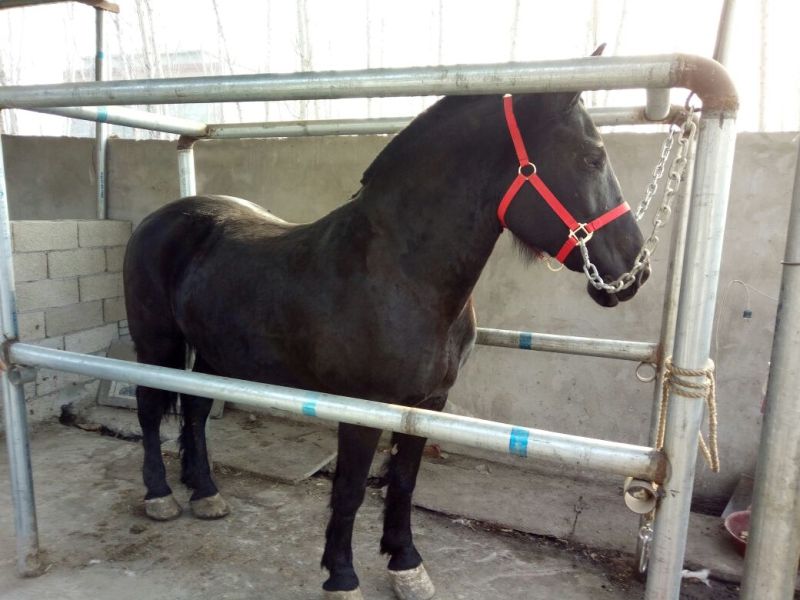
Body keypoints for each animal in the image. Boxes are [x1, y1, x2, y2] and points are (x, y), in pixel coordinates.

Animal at [123, 66, 648, 600]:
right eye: (592, 157)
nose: (635, 270)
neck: (400, 272)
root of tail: (161, 218)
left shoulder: (427, 403)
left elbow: (403, 483)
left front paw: (406, 565)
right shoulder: (363, 407)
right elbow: (351, 489)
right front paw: (341, 576)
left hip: (214, 351)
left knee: (195, 410)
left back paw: (205, 492)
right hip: (157, 343)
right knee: (149, 408)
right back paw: (160, 495)